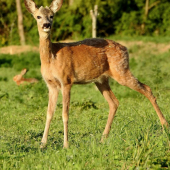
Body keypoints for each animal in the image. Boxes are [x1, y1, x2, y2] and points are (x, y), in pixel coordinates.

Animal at [24, 0, 169, 149]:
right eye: (38, 16)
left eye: (52, 16)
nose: (46, 25)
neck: (52, 57)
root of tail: (126, 48)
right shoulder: (51, 84)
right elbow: (49, 113)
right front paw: (42, 144)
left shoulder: (66, 80)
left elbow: (65, 113)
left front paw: (66, 145)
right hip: (101, 80)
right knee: (114, 102)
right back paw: (103, 138)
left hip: (121, 70)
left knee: (147, 89)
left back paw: (165, 125)